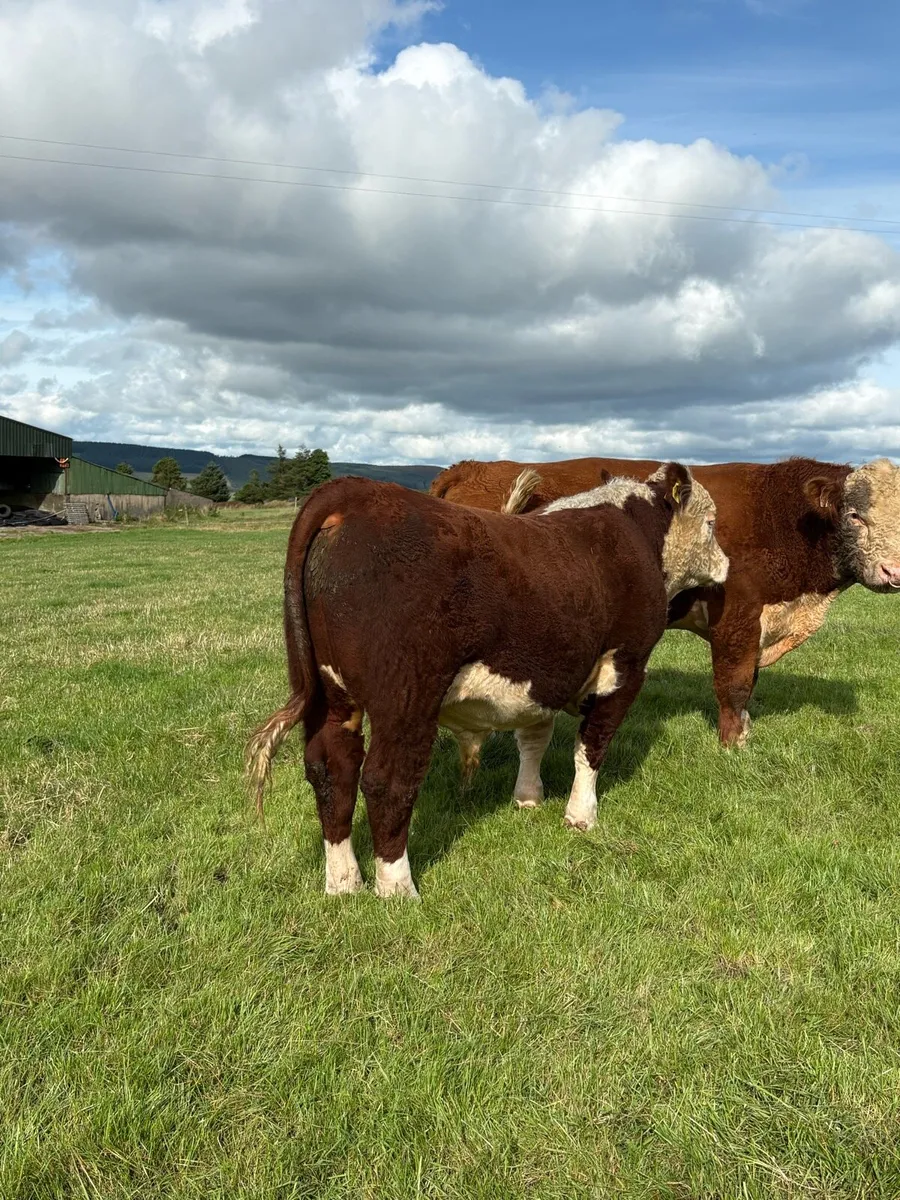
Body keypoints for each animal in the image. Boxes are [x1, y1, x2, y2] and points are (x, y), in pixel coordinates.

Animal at [247, 465, 728, 899]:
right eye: (711, 522)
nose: (727, 564)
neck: (634, 534)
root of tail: (353, 494)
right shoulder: (624, 666)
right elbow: (592, 748)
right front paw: (581, 816)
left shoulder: (543, 675)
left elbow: (534, 737)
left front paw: (528, 797)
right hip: (406, 699)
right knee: (387, 780)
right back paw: (397, 888)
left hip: (332, 697)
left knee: (332, 769)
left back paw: (344, 883)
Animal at [430, 455, 900, 747]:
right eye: (855, 515)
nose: (894, 571)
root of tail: (470, 468)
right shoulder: (736, 616)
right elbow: (733, 685)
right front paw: (733, 746)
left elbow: (749, 684)